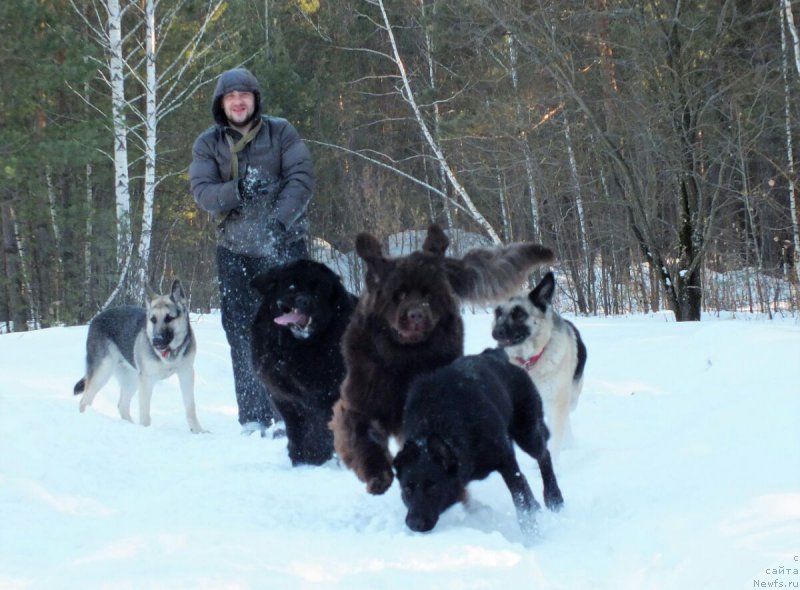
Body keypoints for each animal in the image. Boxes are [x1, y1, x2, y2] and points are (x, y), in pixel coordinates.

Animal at [72, 280, 206, 438]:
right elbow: (145, 412)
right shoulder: (147, 380)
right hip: (103, 371)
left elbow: (190, 407)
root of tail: (96, 319)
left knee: (122, 405)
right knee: (84, 401)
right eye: (153, 319)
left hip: (131, 379)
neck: (169, 353)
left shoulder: (186, 373)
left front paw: (198, 431)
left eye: (169, 318)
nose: (156, 341)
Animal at [250, 260, 356, 468]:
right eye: (291, 286)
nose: (303, 300)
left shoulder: (327, 396)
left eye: (319, 290)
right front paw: (299, 458)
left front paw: (315, 458)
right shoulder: (285, 398)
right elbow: (297, 430)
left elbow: (319, 430)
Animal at [392, 350, 564, 544]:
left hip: (527, 434)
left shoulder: (506, 461)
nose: (414, 523)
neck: (436, 421)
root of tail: (496, 353)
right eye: (407, 488)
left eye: (433, 486)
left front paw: (533, 539)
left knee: (544, 455)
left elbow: (521, 506)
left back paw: (554, 498)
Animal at [490, 270, 584, 456]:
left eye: (519, 315)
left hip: (570, 399)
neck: (530, 360)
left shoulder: (556, 404)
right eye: (498, 313)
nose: (495, 332)